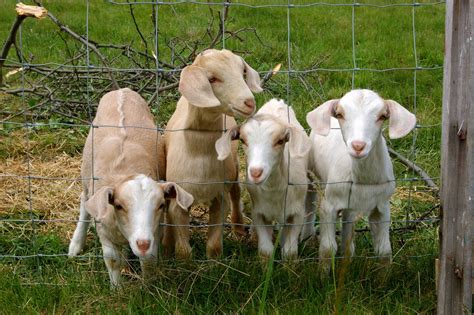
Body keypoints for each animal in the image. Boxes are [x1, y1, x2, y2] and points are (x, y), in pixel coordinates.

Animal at [67, 88, 193, 286]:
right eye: (119, 206)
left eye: (161, 205)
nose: (142, 244)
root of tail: (122, 90)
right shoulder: (105, 232)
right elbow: (112, 260)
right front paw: (117, 289)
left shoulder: (153, 232)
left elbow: (148, 261)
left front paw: (148, 287)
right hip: (86, 173)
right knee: (84, 202)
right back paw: (75, 245)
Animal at [164, 48, 262, 260]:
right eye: (212, 79)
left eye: (242, 71)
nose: (249, 103)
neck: (199, 153)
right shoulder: (179, 198)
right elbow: (183, 249)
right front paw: (184, 263)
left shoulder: (219, 194)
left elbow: (215, 243)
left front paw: (215, 263)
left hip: (233, 167)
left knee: (236, 191)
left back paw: (239, 227)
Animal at [215, 100, 312, 260]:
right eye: (243, 140)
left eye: (280, 141)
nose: (256, 172)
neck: (274, 190)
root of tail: (276, 101)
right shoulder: (259, 212)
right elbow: (266, 250)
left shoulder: (297, 213)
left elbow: (290, 252)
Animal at [308, 89, 414, 274]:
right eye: (341, 114)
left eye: (382, 116)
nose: (358, 146)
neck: (364, 179)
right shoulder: (329, 206)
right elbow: (328, 249)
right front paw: (322, 277)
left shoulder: (382, 207)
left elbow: (384, 251)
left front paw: (383, 279)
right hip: (314, 177)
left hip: (351, 206)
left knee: (348, 237)